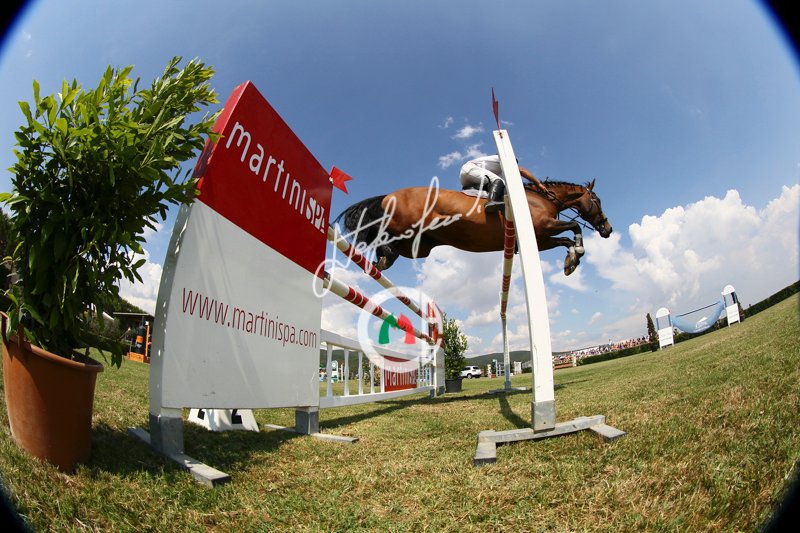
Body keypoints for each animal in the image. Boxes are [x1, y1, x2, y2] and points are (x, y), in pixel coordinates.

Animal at [333, 179, 612, 276]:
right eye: (597, 201)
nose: (607, 229)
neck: (541, 199)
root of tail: (388, 195)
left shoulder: (541, 239)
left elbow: (566, 239)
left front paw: (570, 261)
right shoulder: (543, 227)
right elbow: (574, 226)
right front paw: (577, 254)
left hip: (418, 246)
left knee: (390, 247)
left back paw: (382, 261)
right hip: (406, 226)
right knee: (382, 235)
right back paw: (383, 257)